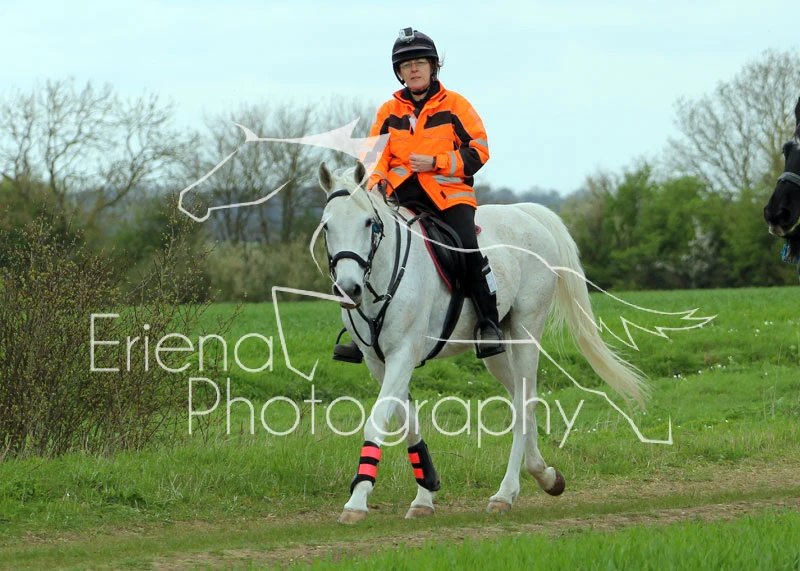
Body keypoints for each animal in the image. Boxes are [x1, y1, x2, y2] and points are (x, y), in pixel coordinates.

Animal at [317, 161, 648, 524]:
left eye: (368, 223)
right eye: (326, 226)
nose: (348, 289)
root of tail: (525, 213)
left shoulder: (403, 355)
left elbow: (377, 422)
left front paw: (357, 501)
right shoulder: (380, 362)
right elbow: (409, 424)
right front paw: (426, 491)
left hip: (527, 330)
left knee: (524, 403)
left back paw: (506, 492)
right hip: (495, 350)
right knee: (521, 399)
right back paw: (544, 475)